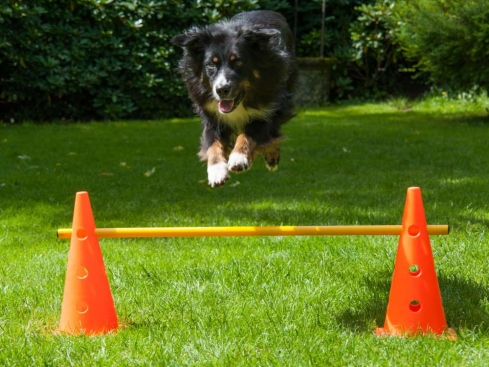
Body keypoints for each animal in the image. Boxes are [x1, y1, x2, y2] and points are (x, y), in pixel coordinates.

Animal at [172, 10, 298, 188]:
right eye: (211, 64)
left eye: (238, 62)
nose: (221, 90)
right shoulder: (211, 115)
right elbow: (212, 142)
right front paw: (217, 171)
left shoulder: (270, 104)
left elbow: (252, 131)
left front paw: (239, 158)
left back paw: (271, 157)